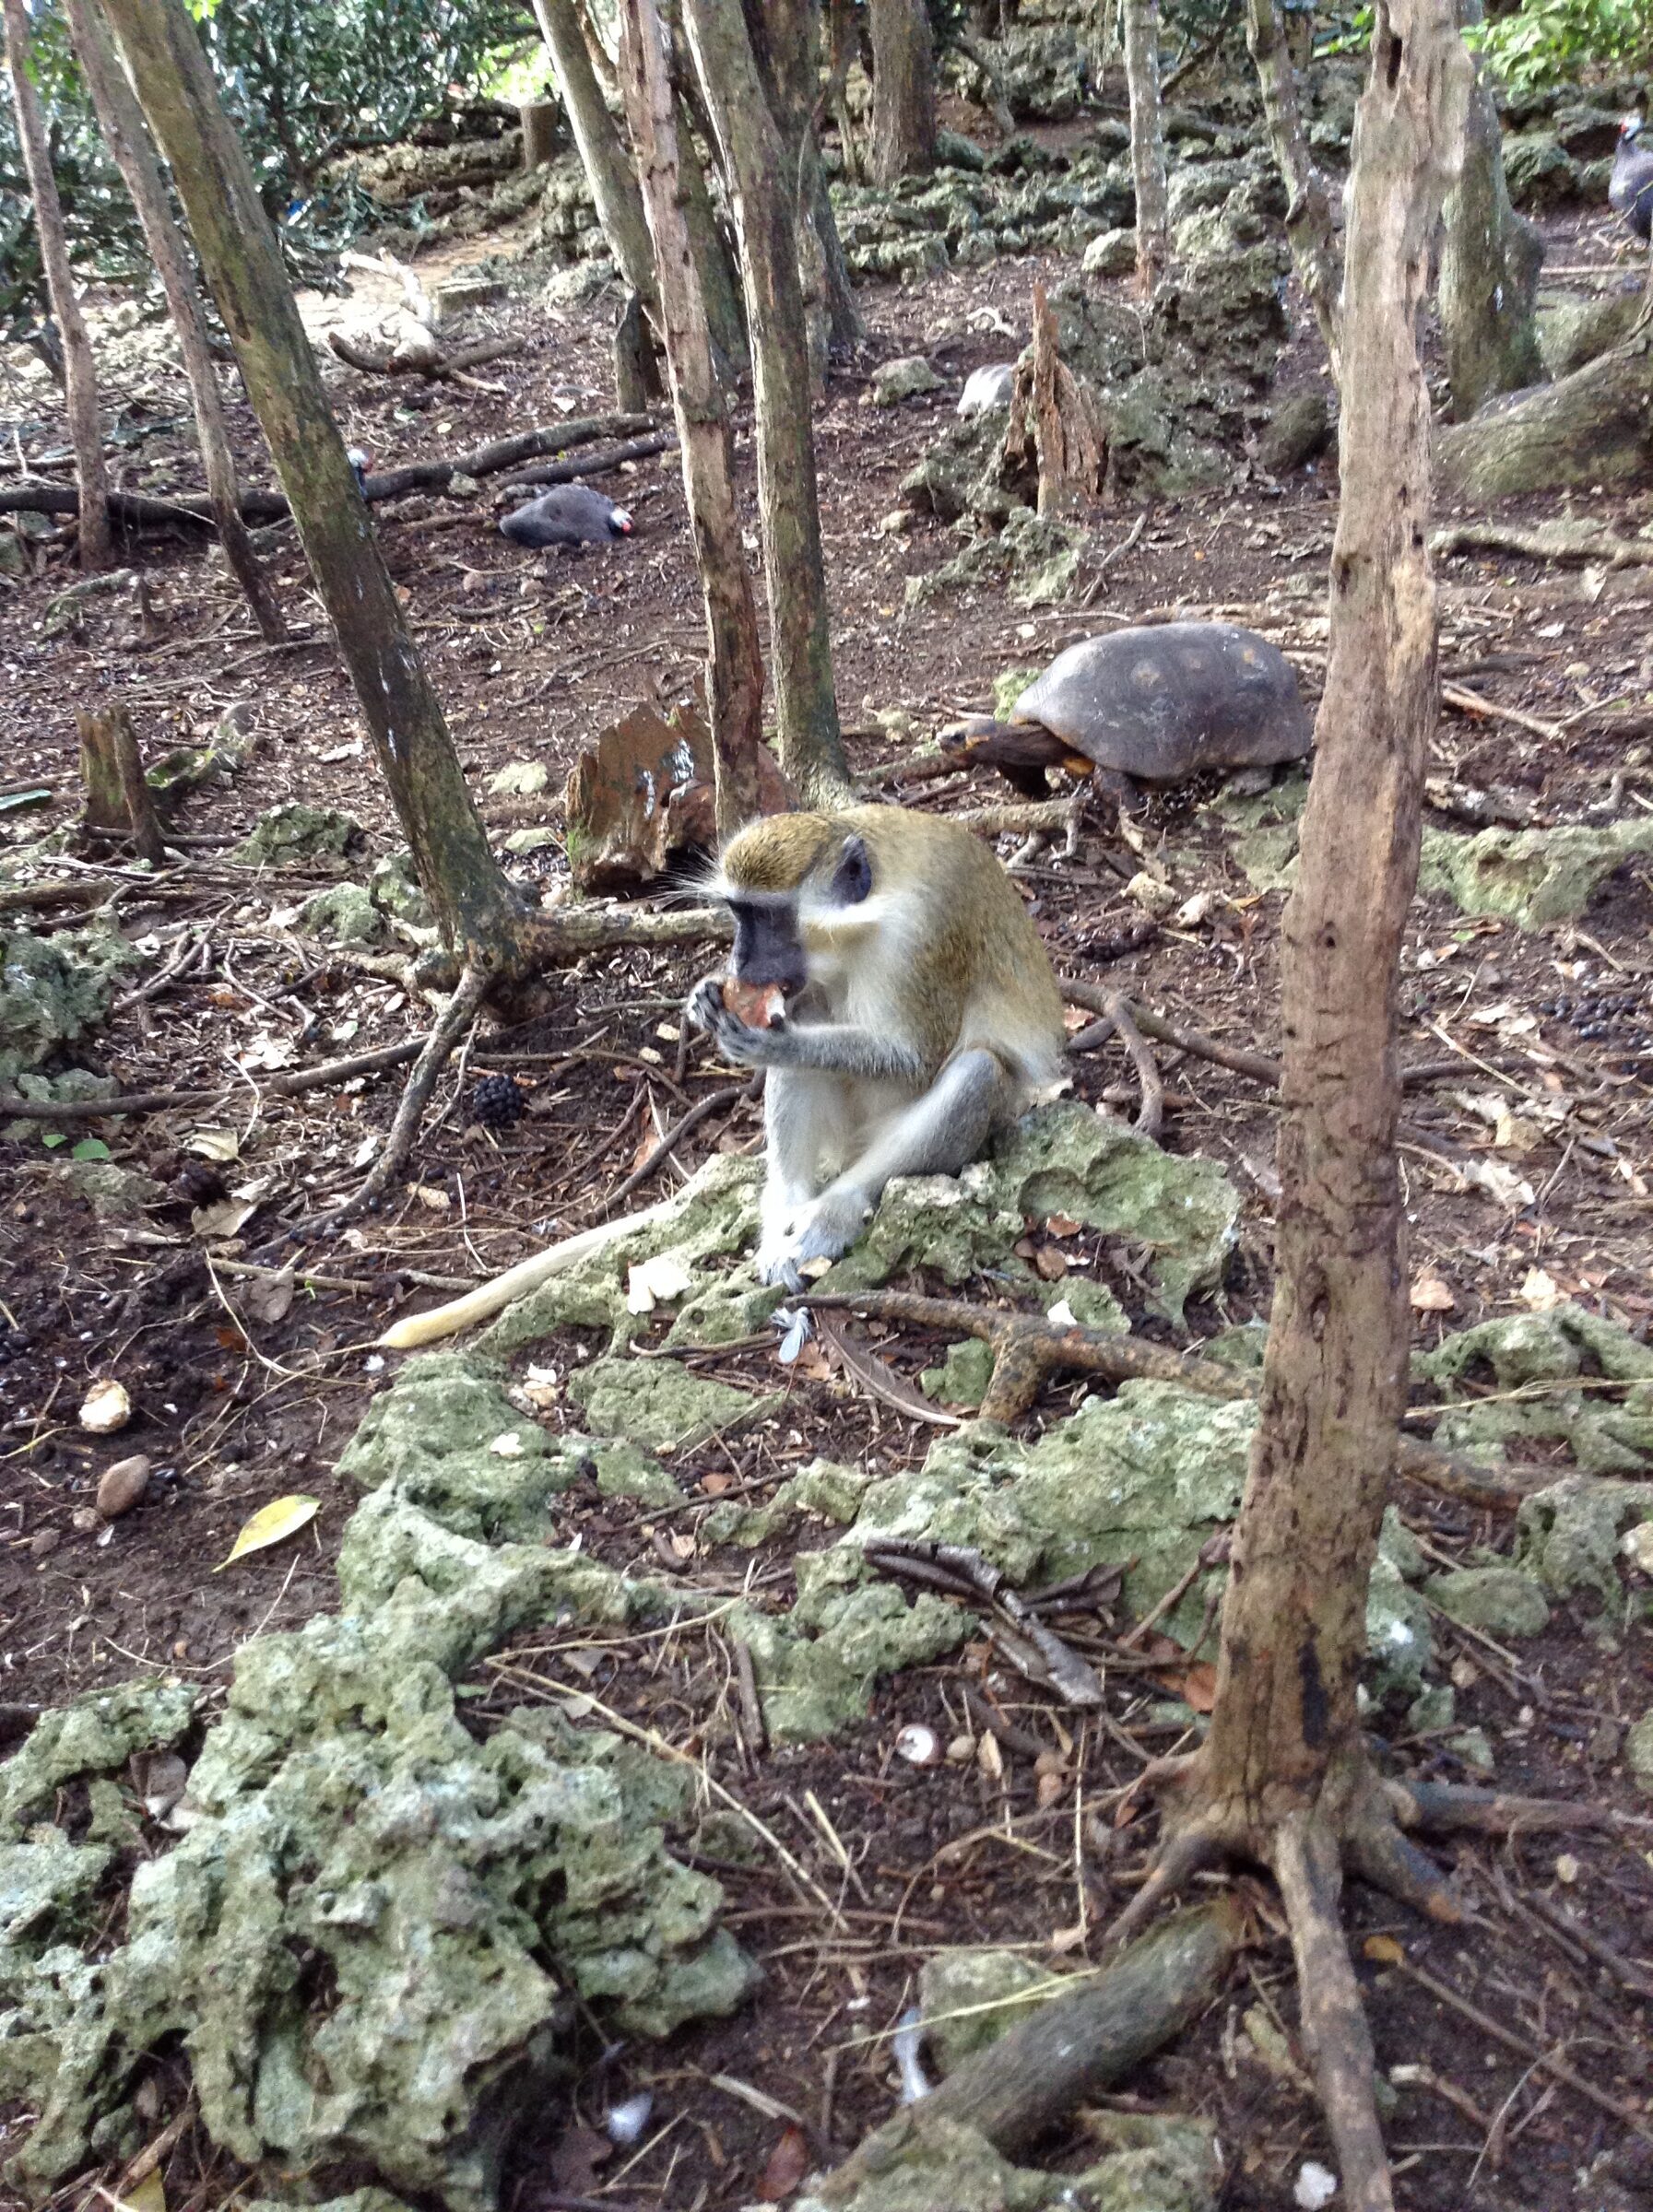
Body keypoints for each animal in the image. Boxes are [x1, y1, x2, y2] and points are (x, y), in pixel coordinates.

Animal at [377, 806, 1066, 1349]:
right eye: (737, 913)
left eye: (768, 917)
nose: (740, 960)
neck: (869, 911)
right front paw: (709, 995)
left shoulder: (924, 937)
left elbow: (918, 1055)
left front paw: (767, 1038)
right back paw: (783, 1208)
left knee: (973, 1072)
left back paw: (832, 1210)